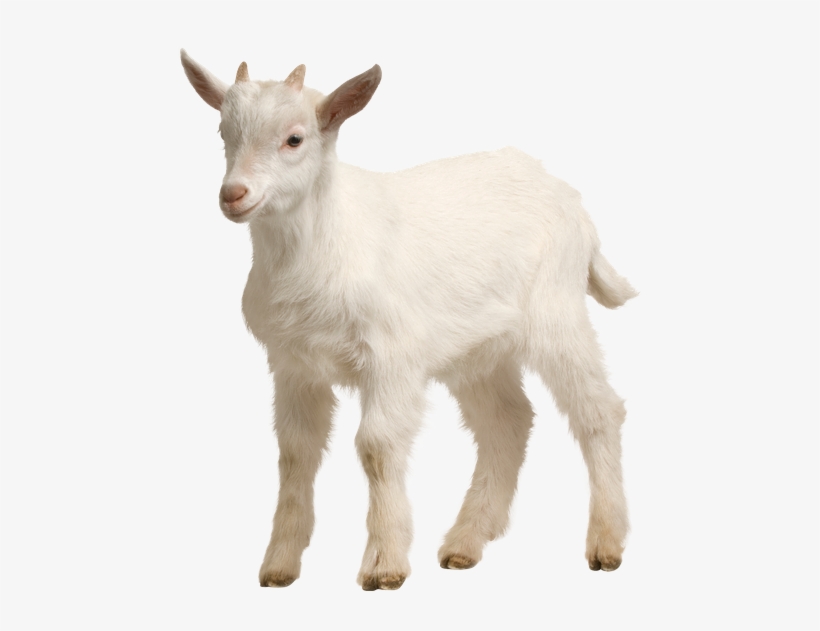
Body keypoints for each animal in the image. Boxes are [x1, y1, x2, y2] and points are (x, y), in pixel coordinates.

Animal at [180, 50, 637, 591]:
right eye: (223, 133)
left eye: (294, 138)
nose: (233, 194)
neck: (325, 241)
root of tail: (570, 201)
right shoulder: (294, 364)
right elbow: (295, 452)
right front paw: (279, 564)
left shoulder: (390, 356)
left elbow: (376, 445)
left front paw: (384, 565)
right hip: (478, 350)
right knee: (507, 420)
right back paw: (465, 542)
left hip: (556, 312)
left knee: (599, 410)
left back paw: (606, 542)